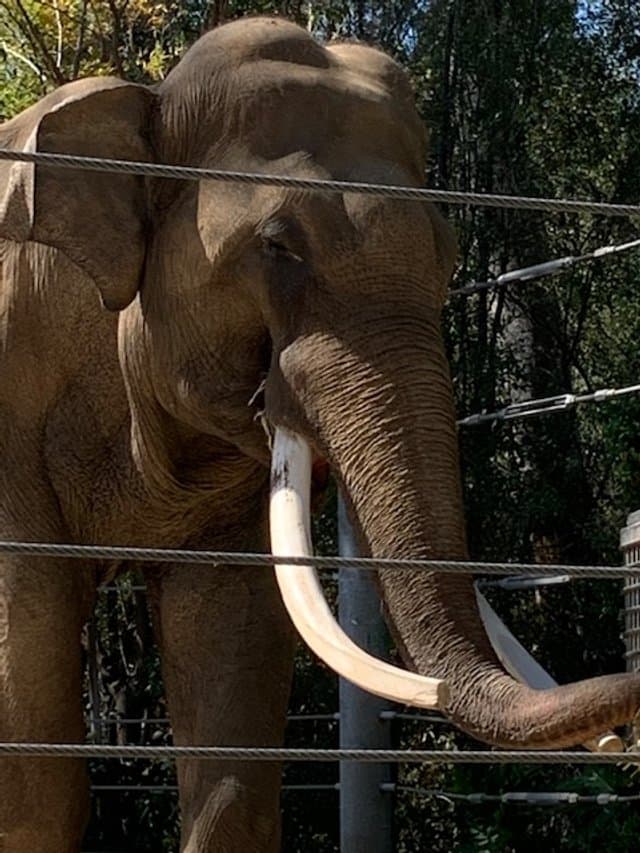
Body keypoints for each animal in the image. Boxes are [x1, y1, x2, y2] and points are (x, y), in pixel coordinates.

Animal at [1, 14, 639, 853]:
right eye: (278, 245)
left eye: (449, 256)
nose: (624, 730)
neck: (149, 101)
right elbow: (33, 760)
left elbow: (233, 722)